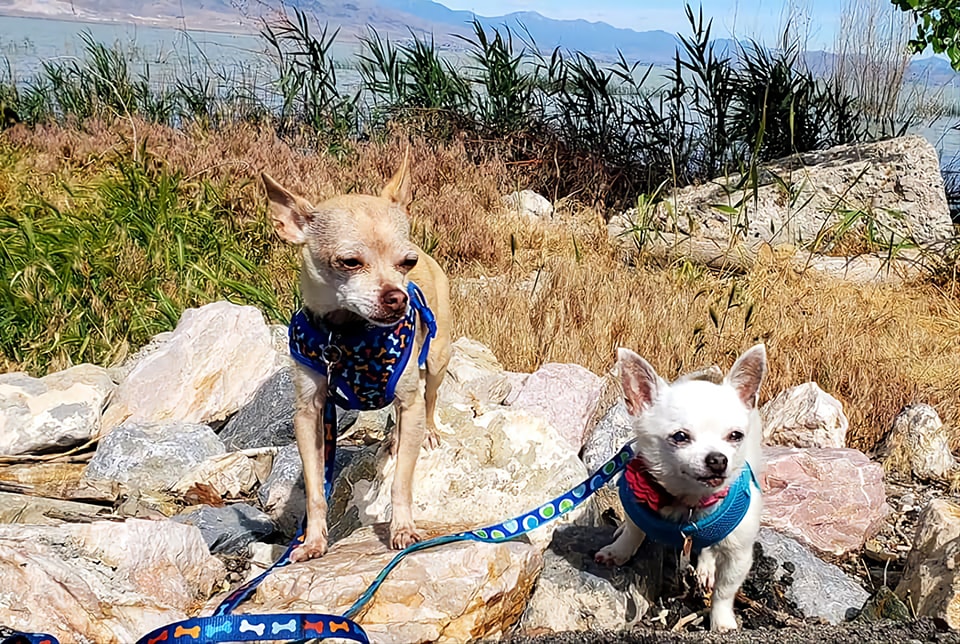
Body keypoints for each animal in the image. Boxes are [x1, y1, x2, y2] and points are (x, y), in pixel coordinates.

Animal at [262, 150, 451, 562]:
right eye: (349, 262)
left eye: (407, 262)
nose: (398, 297)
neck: (348, 335)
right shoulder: (309, 414)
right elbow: (316, 490)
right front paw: (312, 541)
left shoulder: (409, 398)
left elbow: (401, 482)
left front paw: (402, 529)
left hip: (437, 360)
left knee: (428, 399)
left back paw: (425, 432)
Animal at [595, 344, 767, 631]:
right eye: (680, 437)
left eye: (735, 436)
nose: (718, 459)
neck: (689, 503)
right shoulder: (635, 504)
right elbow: (633, 530)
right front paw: (618, 551)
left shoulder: (739, 554)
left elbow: (724, 590)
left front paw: (722, 622)